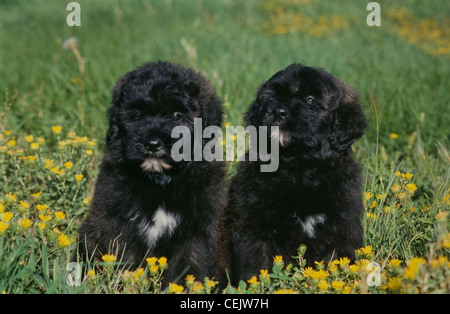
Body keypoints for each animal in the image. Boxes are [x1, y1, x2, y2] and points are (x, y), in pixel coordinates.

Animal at [78, 61, 225, 284]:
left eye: (177, 115)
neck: (161, 182)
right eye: (136, 115)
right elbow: (126, 261)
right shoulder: (119, 223)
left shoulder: (198, 229)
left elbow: (190, 265)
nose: (153, 144)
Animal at [220, 63, 368, 284]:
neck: (299, 168)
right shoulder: (256, 226)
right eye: (272, 97)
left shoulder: (340, 226)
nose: (279, 112)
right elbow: (257, 264)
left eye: (310, 100)